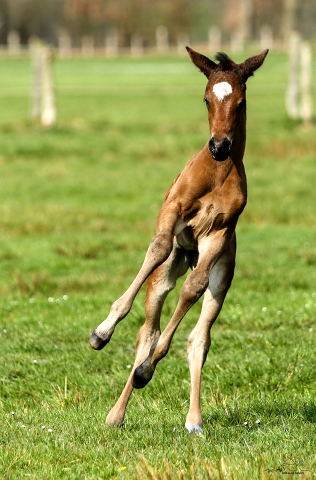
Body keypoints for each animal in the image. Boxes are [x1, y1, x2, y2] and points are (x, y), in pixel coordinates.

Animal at [89, 46, 270, 436]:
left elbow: (193, 289)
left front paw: (148, 370)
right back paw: (115, 413)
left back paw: (192, 418)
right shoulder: (172, 208)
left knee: (197, 336)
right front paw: (102, 332)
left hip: (222, 275)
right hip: (169, 267)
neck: (218, 172)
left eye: (241, 101)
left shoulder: (220, 233)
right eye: (205, 99)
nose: (219, 146)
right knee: (148, 329)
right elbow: (156, 247)